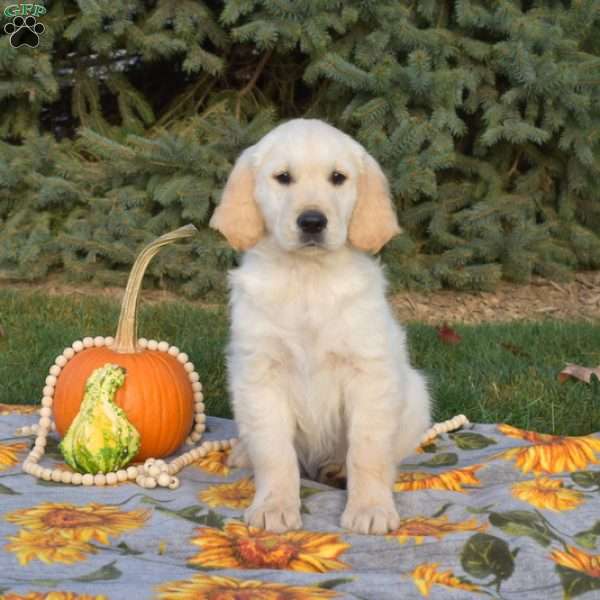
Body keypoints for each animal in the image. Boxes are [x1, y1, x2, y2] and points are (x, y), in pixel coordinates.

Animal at [209, 117, 428, 536]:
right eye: (283, 177)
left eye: (337, 178)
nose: (312, 221)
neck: (307, 278)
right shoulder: (260, 373)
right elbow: (275, 451)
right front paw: (274, 506)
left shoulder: (369, 374)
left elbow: (367, 450)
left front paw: (370, 507)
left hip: (417, 395)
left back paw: (337, 469)